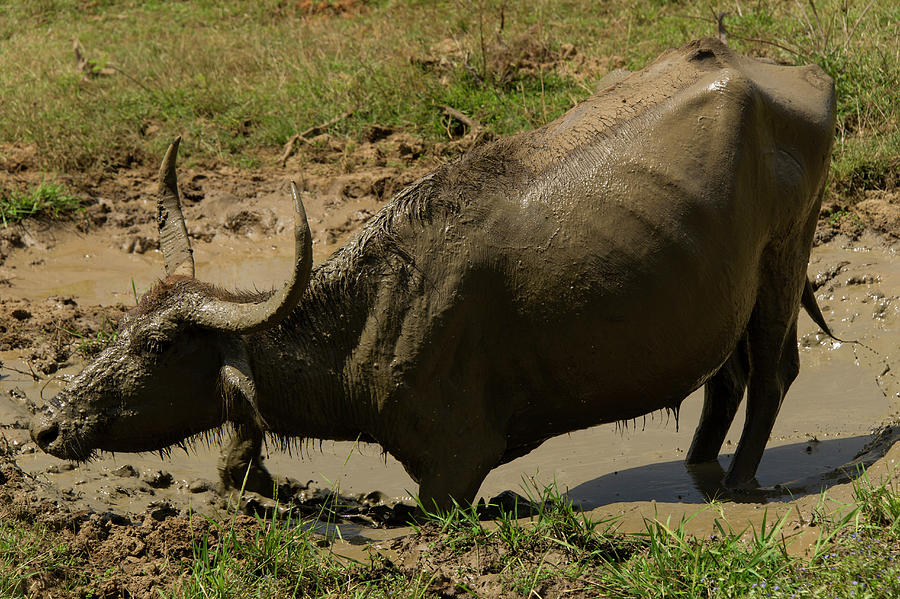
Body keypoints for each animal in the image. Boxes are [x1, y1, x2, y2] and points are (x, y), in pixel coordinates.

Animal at [33, 37, 836, 508]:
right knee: (726, 381)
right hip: (725, 293)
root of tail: (782, 72)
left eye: (159, 346)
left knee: (773, 374)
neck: (374, 318)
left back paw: (738, 484)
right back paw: (700, 468)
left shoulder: (453, 470)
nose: (50, 422)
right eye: (122, 327)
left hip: (784, 259)